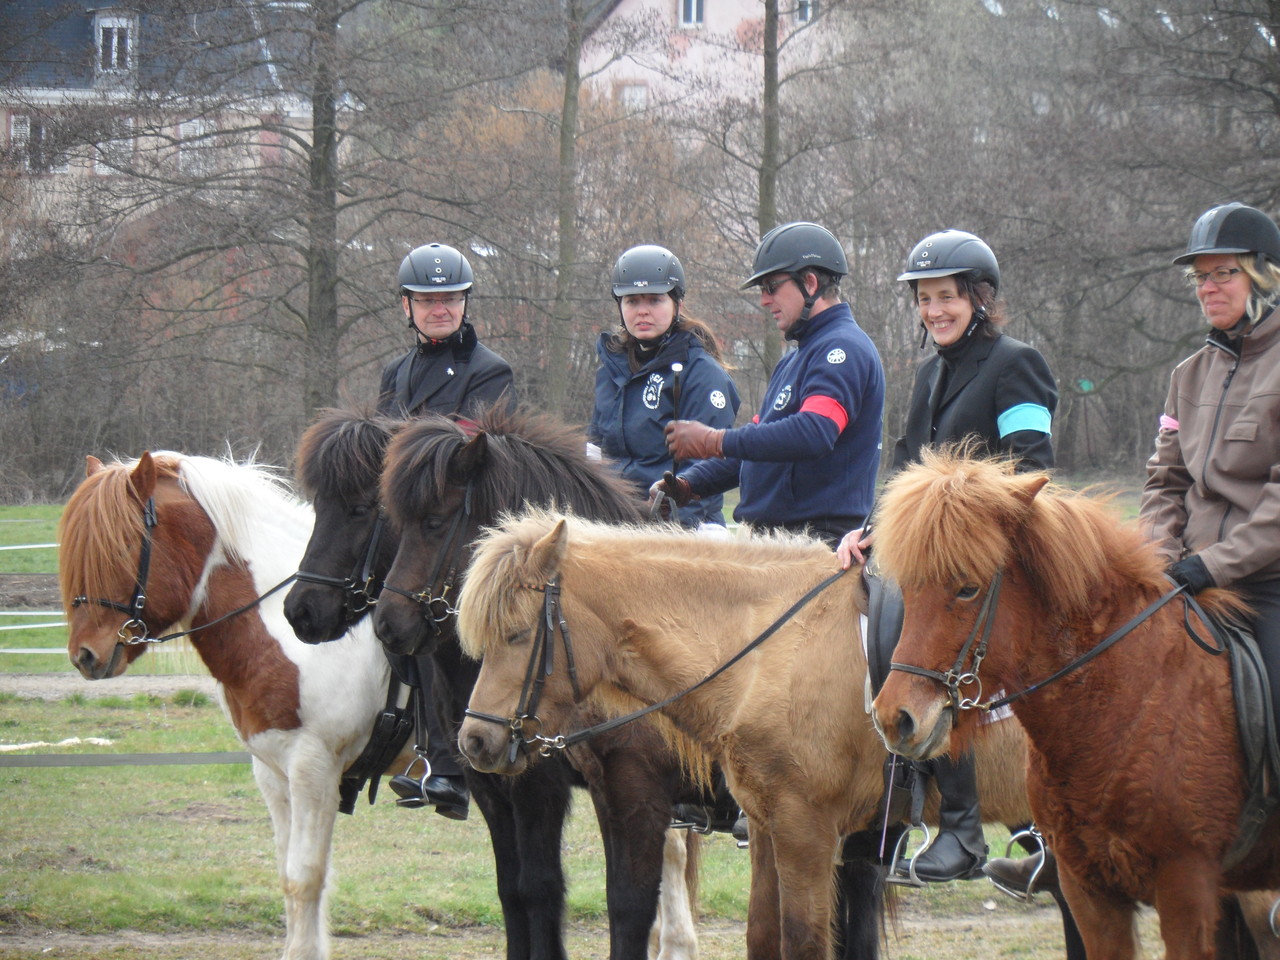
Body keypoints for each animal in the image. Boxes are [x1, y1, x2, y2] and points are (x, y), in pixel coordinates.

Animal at [57, 453, 399, 960]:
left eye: (121, 548)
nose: (84, 655)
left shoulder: (314, 768)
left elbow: (304, 879)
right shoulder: (275, 772)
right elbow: (290, 879)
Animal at [282, 409, 701, 960]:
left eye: (362, 509)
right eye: (392, 514)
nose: (301, 611)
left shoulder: (539, 786)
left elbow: (540, 885)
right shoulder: (488, 782)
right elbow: (512, 887)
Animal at [455, 512, 1054, 960]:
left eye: (517, 633)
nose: (473, 742)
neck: (772, 649)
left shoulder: (801, 831)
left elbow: (797, 941)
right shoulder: (769, 825)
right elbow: (762, 937)